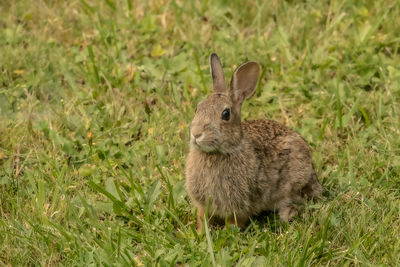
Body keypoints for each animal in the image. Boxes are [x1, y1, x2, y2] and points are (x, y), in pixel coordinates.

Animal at [186, 53, 324, 231]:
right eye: (198, 108)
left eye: (226, 114)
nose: (196, 134)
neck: (218, 153)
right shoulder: (203, 205)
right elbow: (203, 219)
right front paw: (201, 232)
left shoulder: (240, 207)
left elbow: (235, 222)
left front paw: (229, 232)